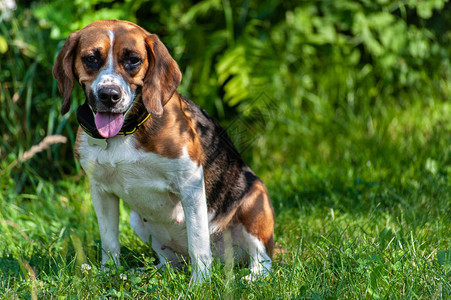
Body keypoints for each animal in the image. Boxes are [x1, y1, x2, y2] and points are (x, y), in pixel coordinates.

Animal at [51, 19, 274, 282]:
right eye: (91, 58)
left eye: (133, 60)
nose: (109, 95)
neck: (125, 132)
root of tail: (226, 260)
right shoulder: (101, 191)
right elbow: (109, 241)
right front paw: (109, 273)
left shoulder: (190, 184)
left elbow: (198, 243)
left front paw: (200, 284)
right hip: (138, 221)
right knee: (170, 263)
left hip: (255, 203)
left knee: (262, 260)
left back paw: (252, 277)